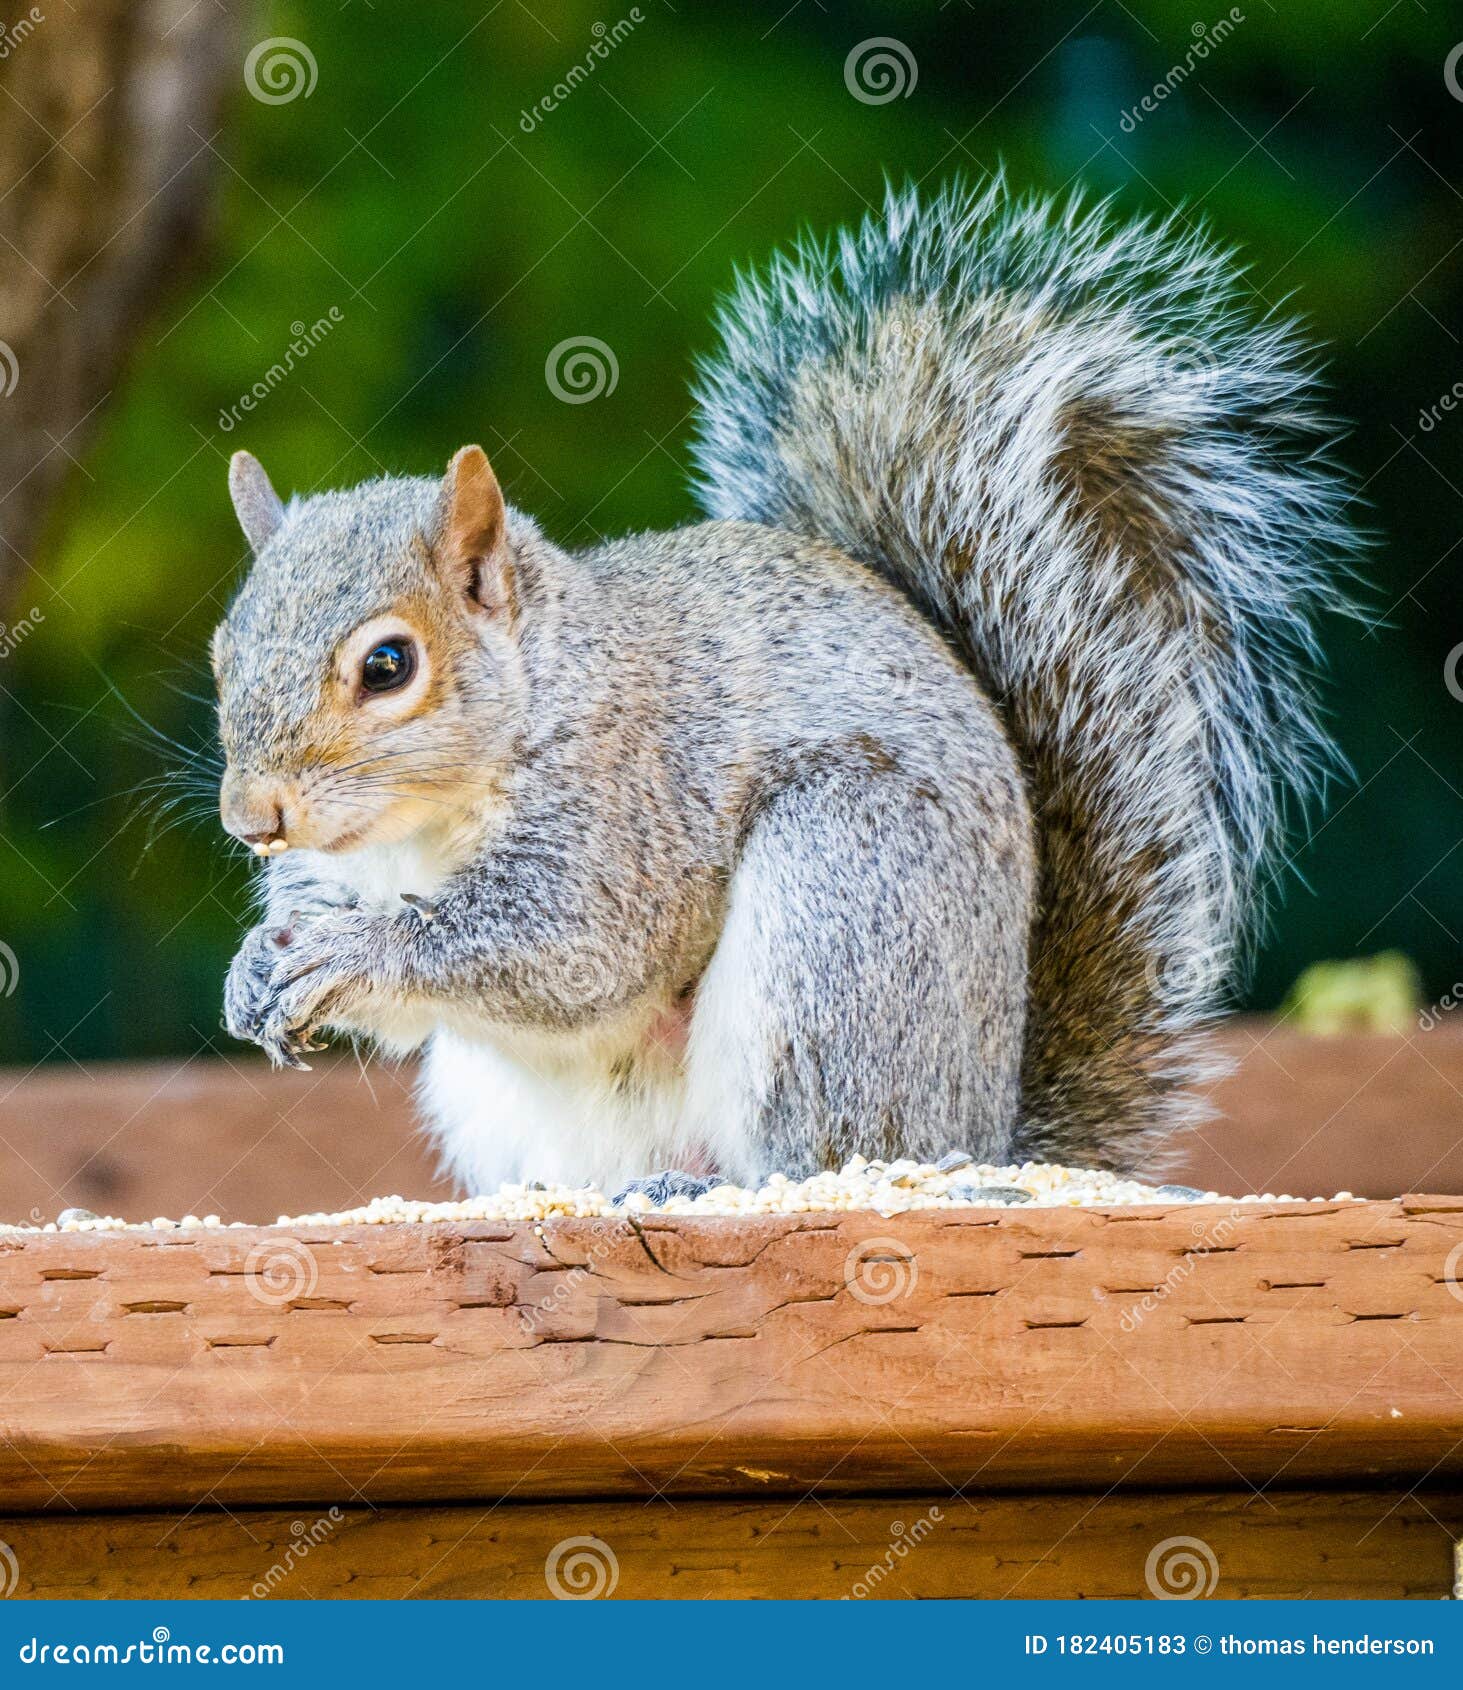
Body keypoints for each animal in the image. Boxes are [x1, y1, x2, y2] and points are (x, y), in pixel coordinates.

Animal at [214, 176, 1353, 1198]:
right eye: (223, 653)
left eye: (388, 666)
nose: (252, 818)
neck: (417, 825)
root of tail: (978, 1133)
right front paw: (259, 966)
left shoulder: (628, 808)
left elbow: (566, 947)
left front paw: (359, 950)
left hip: (838, 905)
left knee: (815, 1159)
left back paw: (706, 1189)